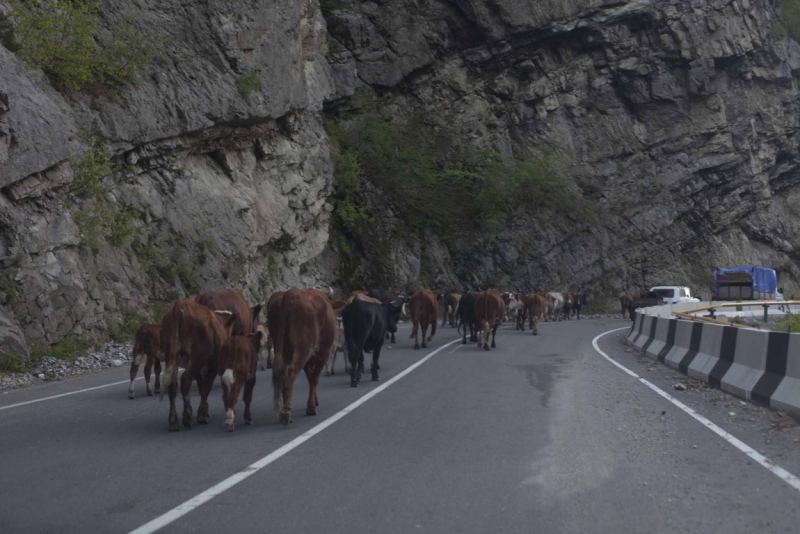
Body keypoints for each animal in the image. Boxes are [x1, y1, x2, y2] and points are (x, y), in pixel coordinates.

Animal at [160, 300, 236, 434]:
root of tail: (180, 304)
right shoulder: (214, 364)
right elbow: (206, 386)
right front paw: (202, 414)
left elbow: (201, 386)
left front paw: (204, 411)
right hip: (197, 356)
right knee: (185, 379)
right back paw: (187, 417)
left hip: (172, 354)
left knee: (172, 384)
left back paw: (173, 422)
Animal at [268, 288, 332, 428]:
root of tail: (291, 293)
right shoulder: (323, 355)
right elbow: (314, 379)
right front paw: (311, 407)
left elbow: (310, 377)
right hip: (303, 349)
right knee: (290, 373)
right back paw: (287, 413)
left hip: (282, 349)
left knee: (280, 372)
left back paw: (283, 411)